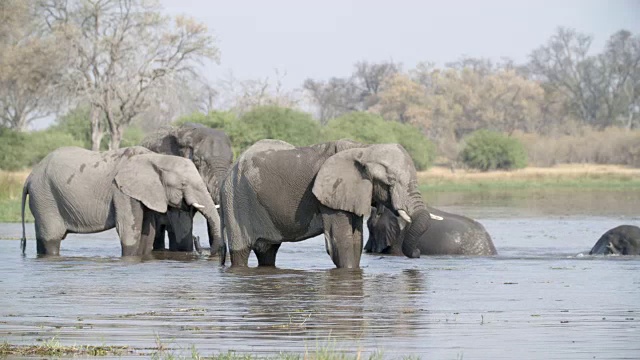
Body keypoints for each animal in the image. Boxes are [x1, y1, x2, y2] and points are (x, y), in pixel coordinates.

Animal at [20, 145, 221, 258]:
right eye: (183, 184)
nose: (197, 238)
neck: (155, 157)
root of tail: (29, 177)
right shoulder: (122, 191)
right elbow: (129, 231)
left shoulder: (145, 193)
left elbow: (147, 235)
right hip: (45, 197)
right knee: (52, 239)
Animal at [221, 139, 430, 268]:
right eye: (390, 182)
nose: (418, 252)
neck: (364, 149)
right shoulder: (329, 196)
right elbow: (341, 242)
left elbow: (355, 241)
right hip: (236, 200)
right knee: (241, 252)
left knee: (268, 251)